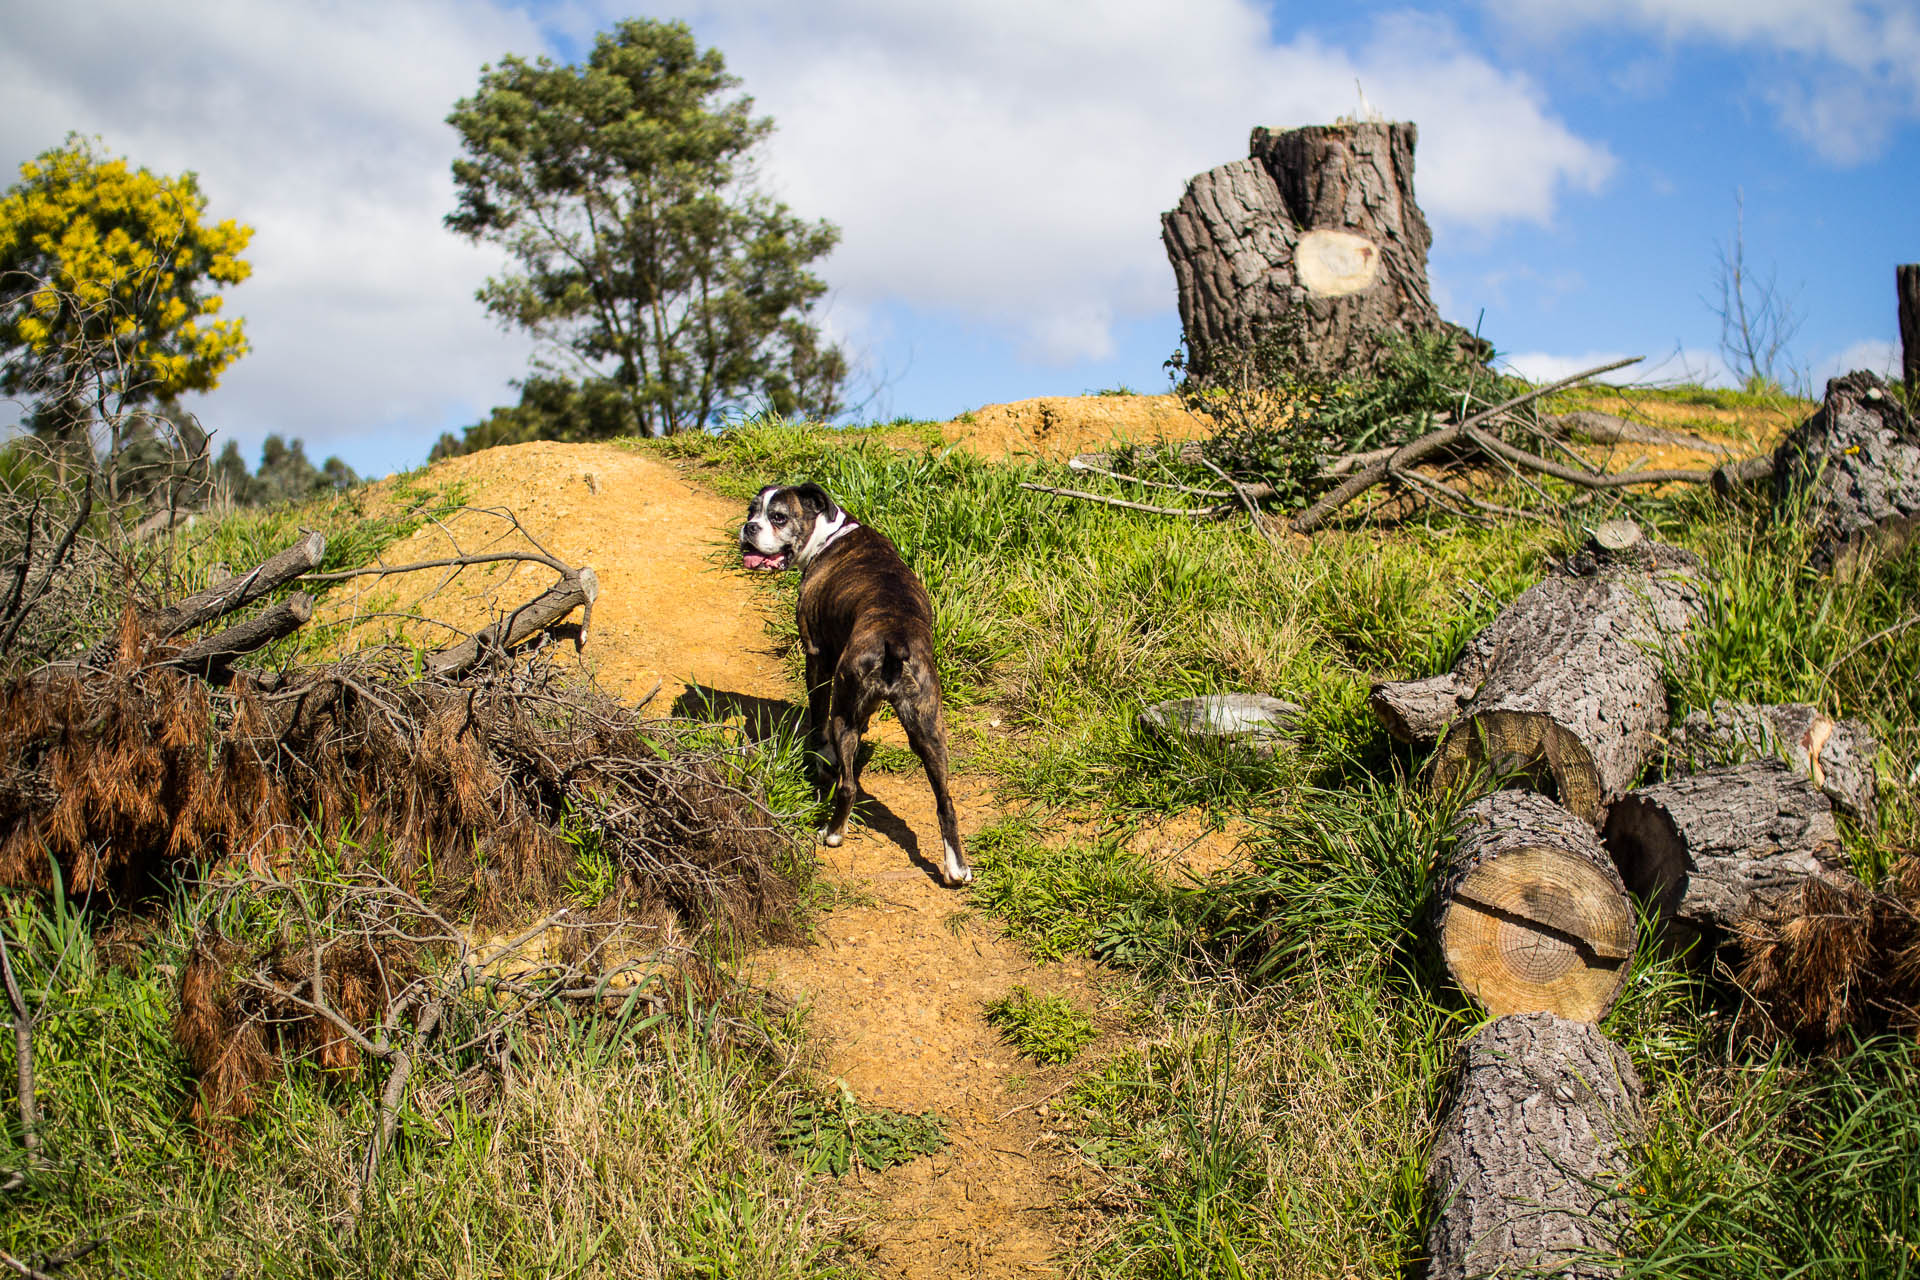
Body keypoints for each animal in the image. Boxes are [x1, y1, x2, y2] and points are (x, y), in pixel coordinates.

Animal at [737, 485, 975, 886]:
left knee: (847, 784)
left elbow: (817, 719)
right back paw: (955, 867)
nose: (749, 527)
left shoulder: (818, 656)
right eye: (752, 511)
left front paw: (820, 754)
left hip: (844, 713)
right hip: (929, 726)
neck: (829, 535)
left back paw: (832, 833)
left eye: (778, 517)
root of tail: (895, 639)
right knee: (945, 802)